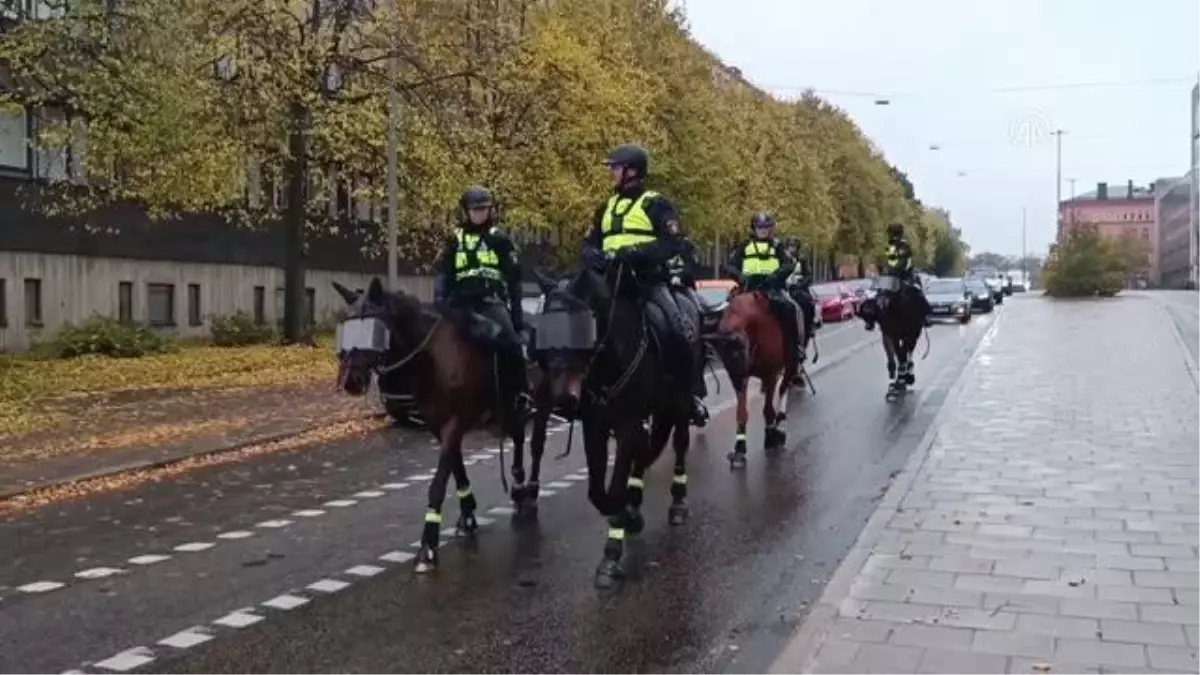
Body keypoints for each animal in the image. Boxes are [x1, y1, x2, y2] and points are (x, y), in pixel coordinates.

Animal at [336, 276, 528, 569]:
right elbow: (457, 470)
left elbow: (438, 484)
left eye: (374, 326)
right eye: (348, 326)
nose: (351, 382)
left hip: (517, 406)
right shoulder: (442, 428)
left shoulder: (454, 424)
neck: (432, 357)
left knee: (519, 439)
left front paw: (428, 544)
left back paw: (519, 488)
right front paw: (467, 515)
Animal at [535, 265, 696, 586]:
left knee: (679, 443)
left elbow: (615, 489)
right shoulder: (595, 427)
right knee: (647, 449)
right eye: (545, 326)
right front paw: (627, 516)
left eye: (580, 325)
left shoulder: (626, 426)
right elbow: (599, 493)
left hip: (680, 403)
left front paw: (611, 554)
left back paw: (677, 502)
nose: (561, 399)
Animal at [710, 283, 806, 468]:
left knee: (784, 388)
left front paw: (771, 436)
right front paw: (740, 447)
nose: (739, 374)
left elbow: (768, 409)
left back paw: (780, 425)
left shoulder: (770, 373)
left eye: (738, 352)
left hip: (790, 364)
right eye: (724, 357)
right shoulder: (740, 378)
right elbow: (742, 412)